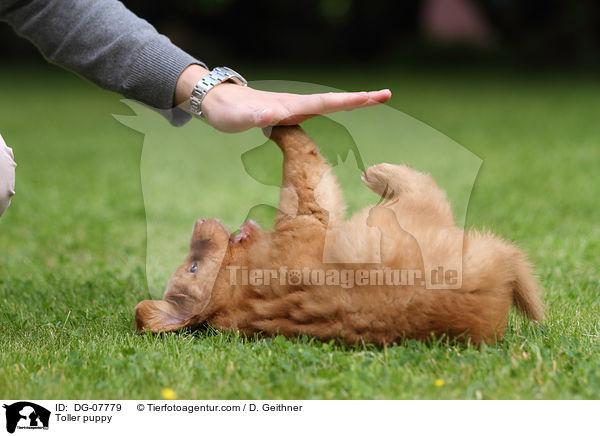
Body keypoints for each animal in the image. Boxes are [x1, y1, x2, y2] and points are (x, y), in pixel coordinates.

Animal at [136, 125, 544, 344]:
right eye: (192, 268)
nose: (200, 220)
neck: (233, 289)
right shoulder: (309, 212)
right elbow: (303, 164)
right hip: (402, 213)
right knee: (415, 184)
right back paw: (379, 173)